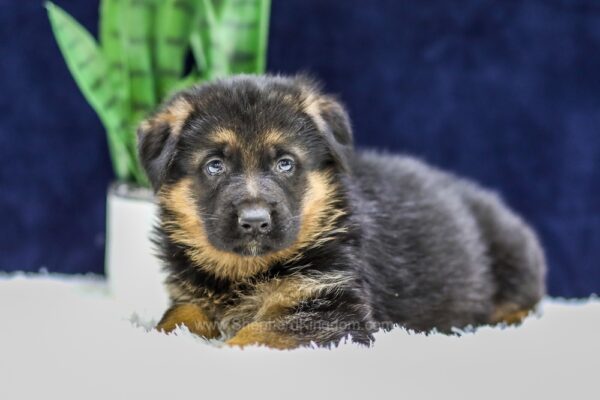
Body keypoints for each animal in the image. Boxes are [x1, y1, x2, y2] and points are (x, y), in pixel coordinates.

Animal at [138, 74, 548, 346]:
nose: (254, 222)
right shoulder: (190, 297)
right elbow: (175, 318)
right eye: (214, 166)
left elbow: (257, 333)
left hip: (514, 253)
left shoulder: (332, 305)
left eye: (285, 164)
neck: (246, 271)